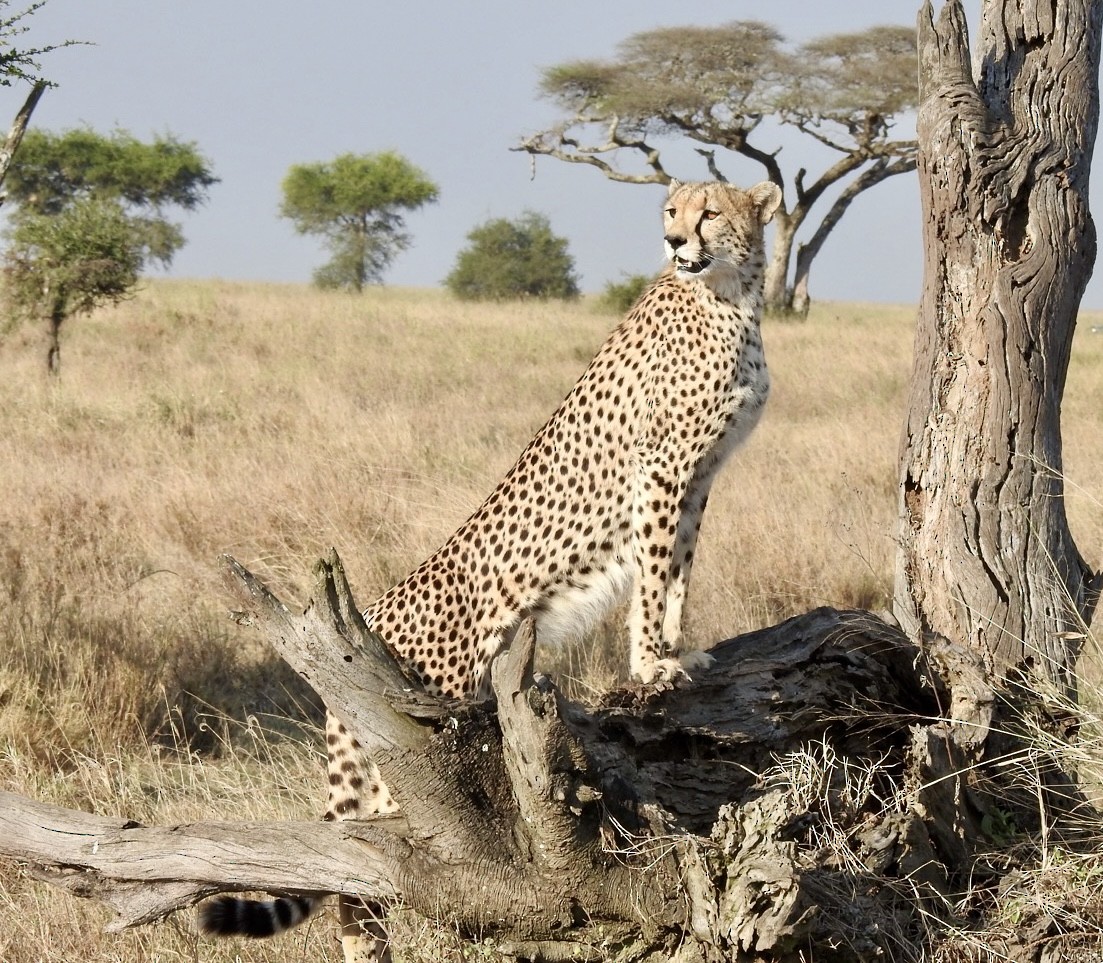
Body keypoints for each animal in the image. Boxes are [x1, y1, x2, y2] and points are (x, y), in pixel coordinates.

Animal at [199, 177, 783, 962]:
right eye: (671, 211)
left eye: (709, 212)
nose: (672, 241)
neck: (729, 293)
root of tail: (372, 611)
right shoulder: (661, 469)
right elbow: (654, 571)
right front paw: (651, 663)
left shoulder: (696, 479)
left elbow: (677, 572)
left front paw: (675, 651)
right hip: (417, 744)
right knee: (376, 857)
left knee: (357, 873)